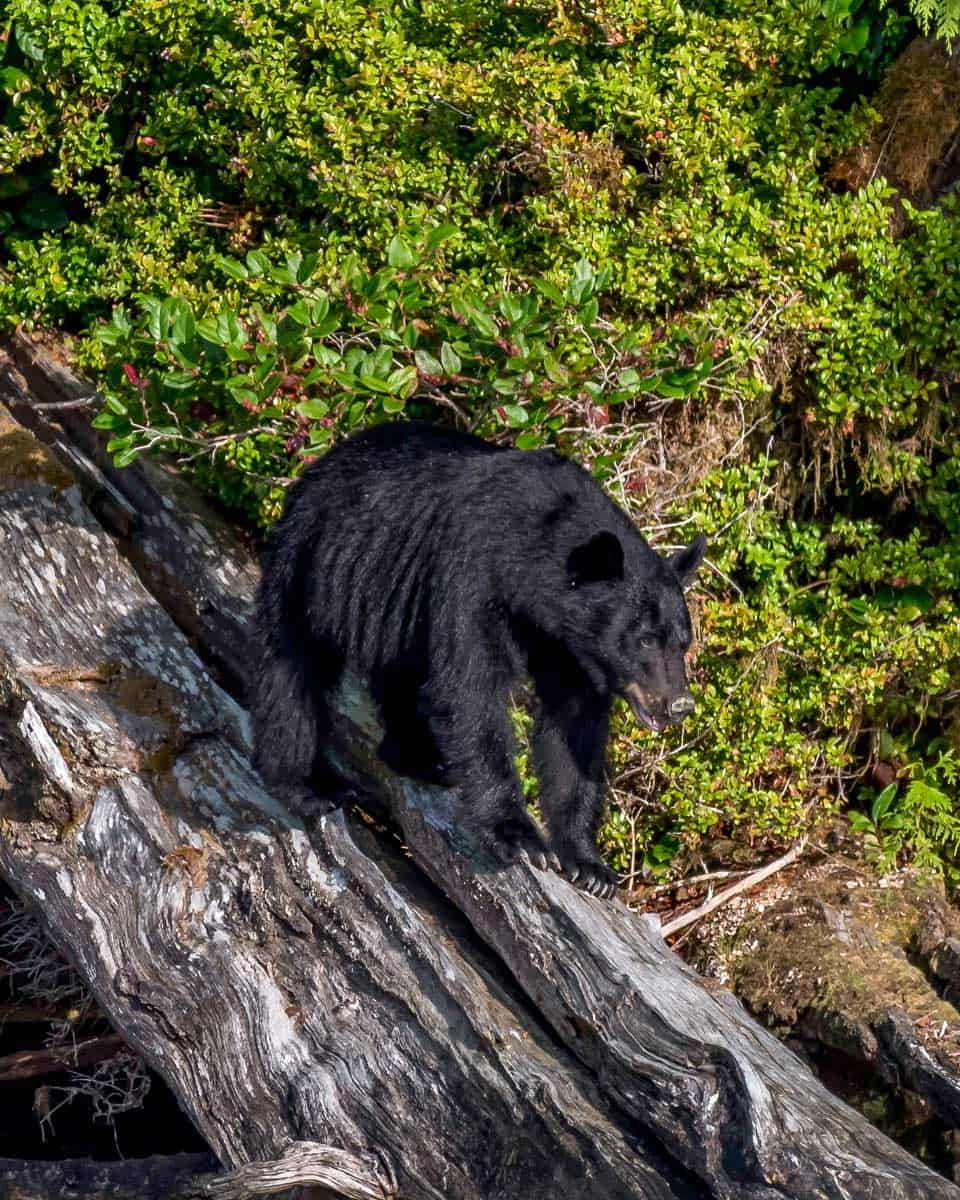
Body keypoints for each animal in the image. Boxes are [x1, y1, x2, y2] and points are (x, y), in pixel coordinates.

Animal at [251, 420, 705, 898]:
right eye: (645, 640)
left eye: (683, 642)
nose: (679, 704)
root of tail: (319, 464)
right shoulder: (472, 573)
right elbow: (469, 690)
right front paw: (520, 836)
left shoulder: (569, 647)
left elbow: (572, 730)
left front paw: (588, 863)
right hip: (313, 561)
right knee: (291, 669)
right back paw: (307, 785)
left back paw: (416, 757)